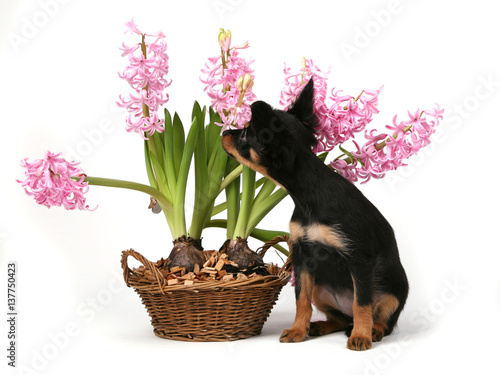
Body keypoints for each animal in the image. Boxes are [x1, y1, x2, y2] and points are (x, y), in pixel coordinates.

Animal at [221, 80, 408, 352]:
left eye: (245, 134)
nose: (224, 132)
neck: (309, 193)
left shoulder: (359, 259)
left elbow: (362, 303)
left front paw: (361, 336)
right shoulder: (303, 256)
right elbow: (301, 300)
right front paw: (298, 330)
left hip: (392, 293)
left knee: (380, 317)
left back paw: (372, 330)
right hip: (321, 290)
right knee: (340, 318)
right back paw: (321, 326)